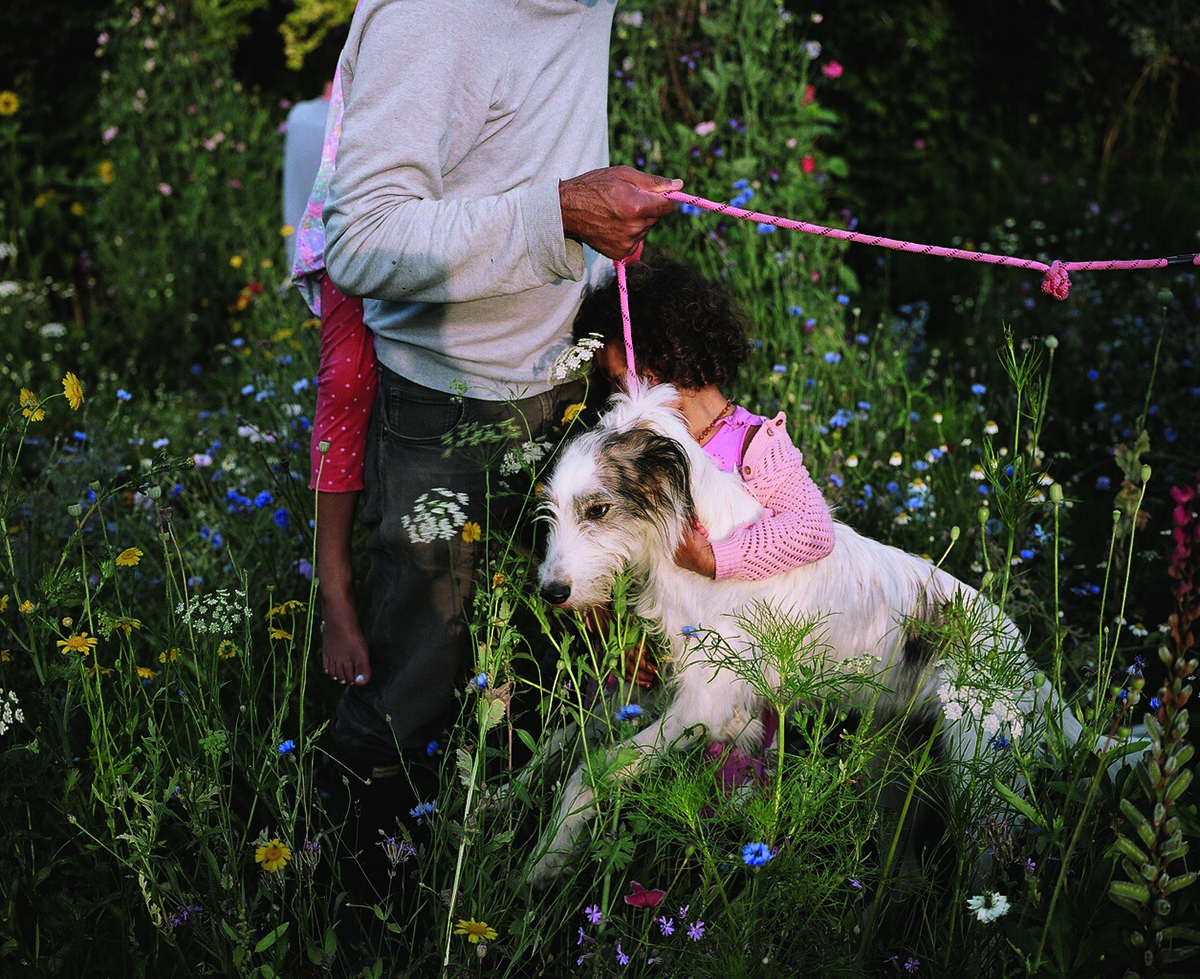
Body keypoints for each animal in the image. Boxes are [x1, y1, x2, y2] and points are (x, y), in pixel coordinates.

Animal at [530, 383, 1094, 887]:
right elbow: (565, 735)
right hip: (897, 773)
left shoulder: (704, 706)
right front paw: (517, 792)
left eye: (598, 509)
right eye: (551, 509)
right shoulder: (659, 692)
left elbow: (593, 770)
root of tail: (1025, 662)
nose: (551, 592)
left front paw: (546, 856)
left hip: (983, 787)